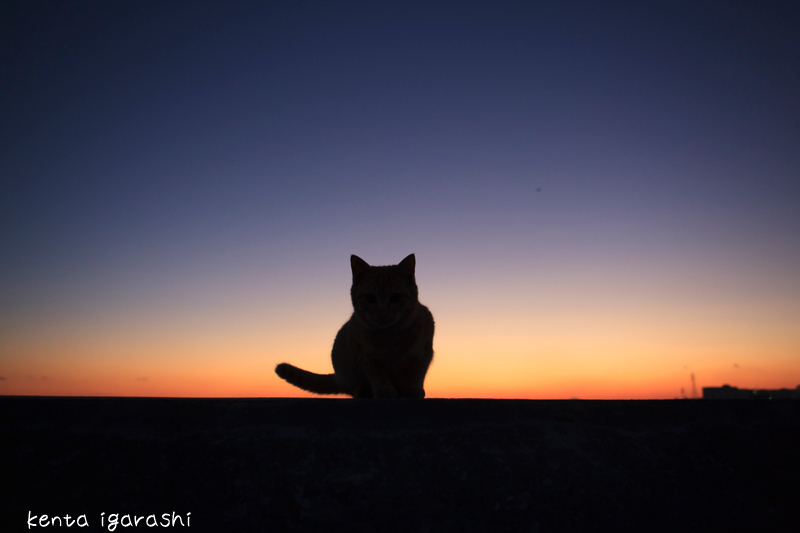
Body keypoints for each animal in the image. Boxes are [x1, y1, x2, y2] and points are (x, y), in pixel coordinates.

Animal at [276, 255, 438, 400]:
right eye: (370, 298)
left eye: (396, 298)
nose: (382, 314)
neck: (389, 338)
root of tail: (338, 378)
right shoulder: (366, 356)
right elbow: (378, 377)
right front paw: (385, 391)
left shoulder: (422, 353)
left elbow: (415, 375)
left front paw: (412, 390)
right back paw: (362, 391)